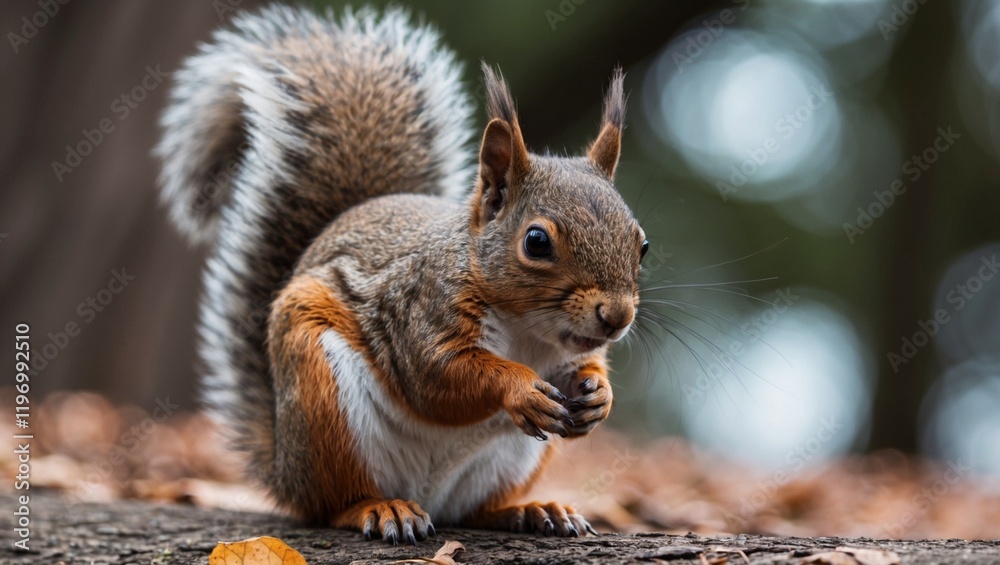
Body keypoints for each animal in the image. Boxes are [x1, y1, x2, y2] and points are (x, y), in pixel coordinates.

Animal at [156, 5, 647, 545]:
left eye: (642, 245)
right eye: (536, 242)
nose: (617, 317)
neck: (529, 332)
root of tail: (284, 468)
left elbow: (588, 366)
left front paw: (599, 395)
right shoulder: (418, 311)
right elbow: (438, 379)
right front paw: (518, 387)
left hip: (510, 462)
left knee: (473, 511)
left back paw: (532, 511)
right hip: (320, 396)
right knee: (334, 502)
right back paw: (379, 508)